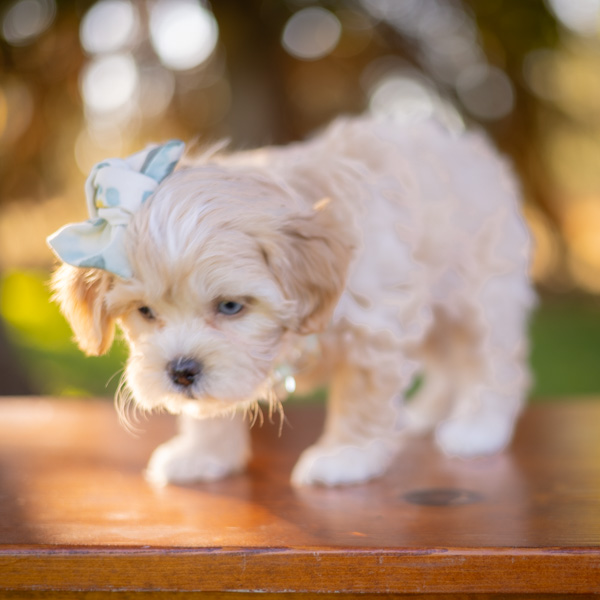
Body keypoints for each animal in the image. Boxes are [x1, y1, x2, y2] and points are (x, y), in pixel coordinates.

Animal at [48, 117, 536, 488]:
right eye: (146, 312)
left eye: (230, 306)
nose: (182, 372)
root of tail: (467, 145)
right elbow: (212, 408)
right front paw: (203, 454)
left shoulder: (374, 334)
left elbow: (360, 400)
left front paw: (345, 456)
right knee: (447, 363)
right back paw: (426, 414)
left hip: (481, 297)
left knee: (493, 367)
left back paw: (478, 428)